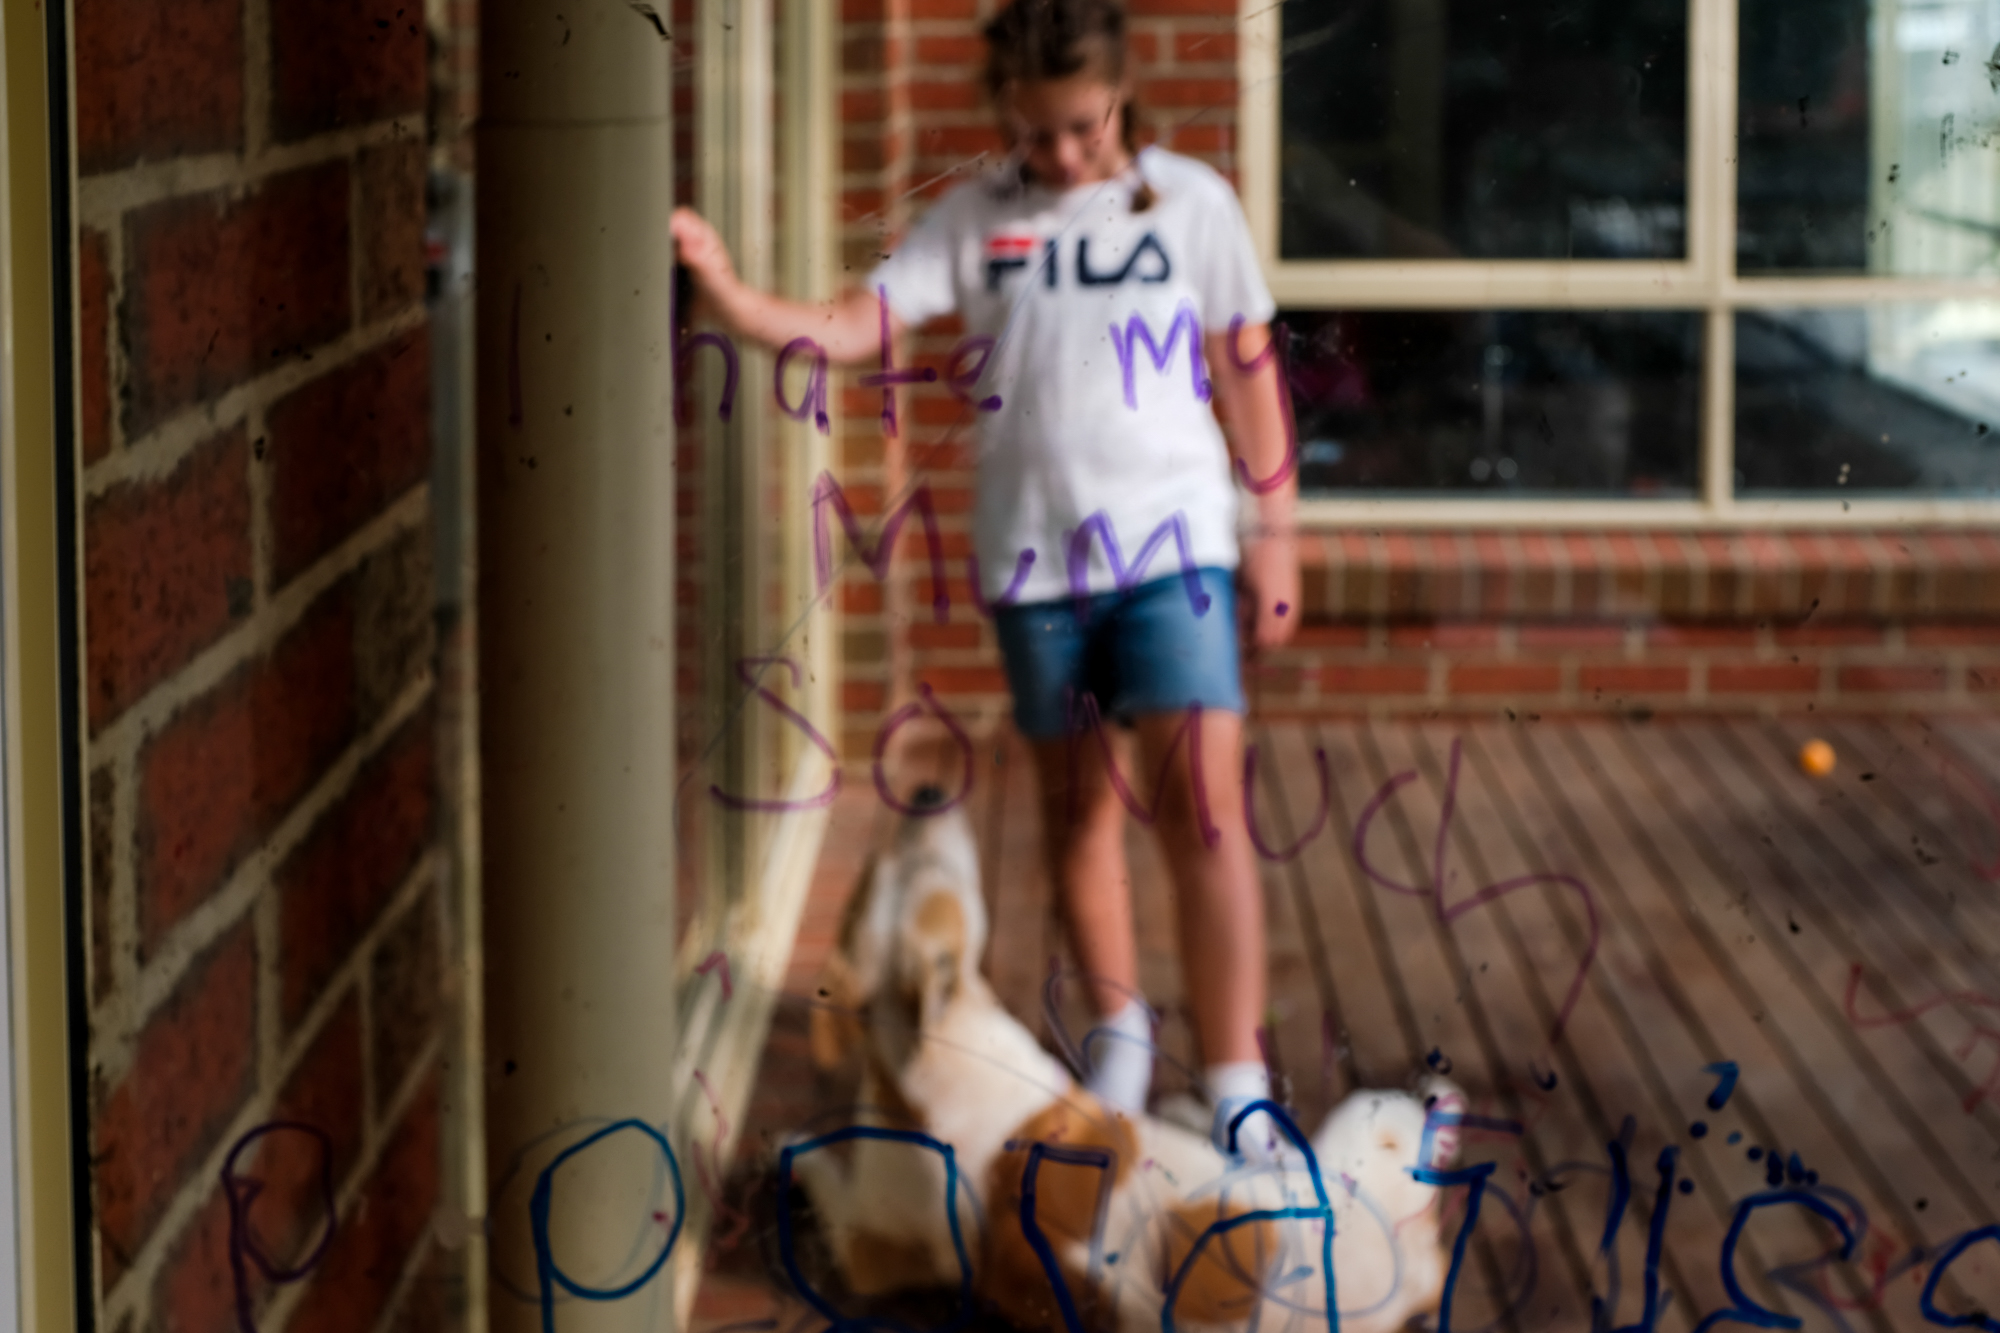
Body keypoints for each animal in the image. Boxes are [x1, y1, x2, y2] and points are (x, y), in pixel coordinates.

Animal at [788, 792, 1464, 1320]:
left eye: (897, 871)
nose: (926, 791)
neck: (935, 1043)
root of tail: (1419, 1264)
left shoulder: (864, 1248)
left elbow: (812, 1163)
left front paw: (790, 1147)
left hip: (1367, 1109)